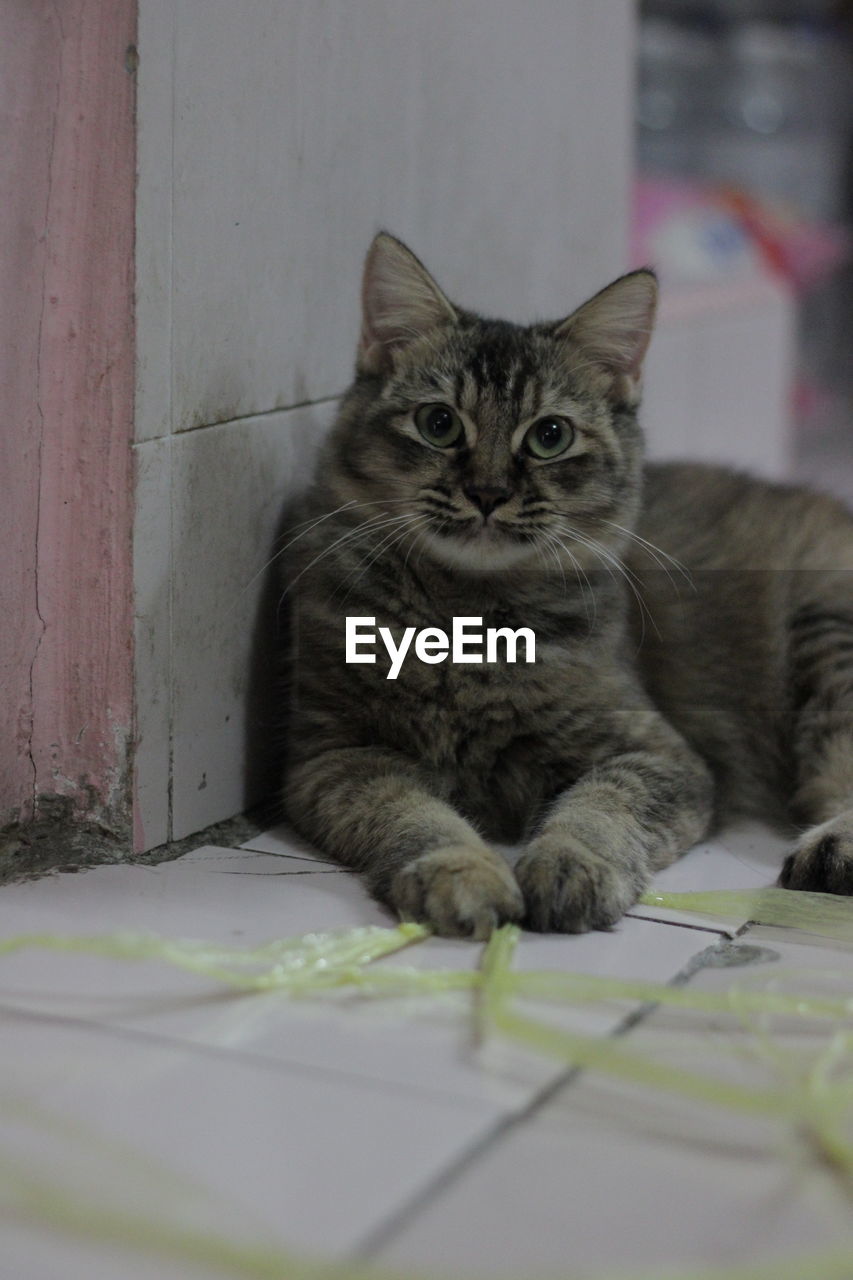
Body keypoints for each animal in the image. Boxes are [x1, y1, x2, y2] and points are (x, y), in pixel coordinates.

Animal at [281, 235, 850, 942]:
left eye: (549, 437)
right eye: (439, 424)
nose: (489, 493)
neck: (466, 623)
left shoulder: (656, 755)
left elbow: (598, 809)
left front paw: (568, 866)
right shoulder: (338, 755)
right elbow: (416, 816)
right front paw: (462, 875)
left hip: (827, 641)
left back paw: (833, 849)